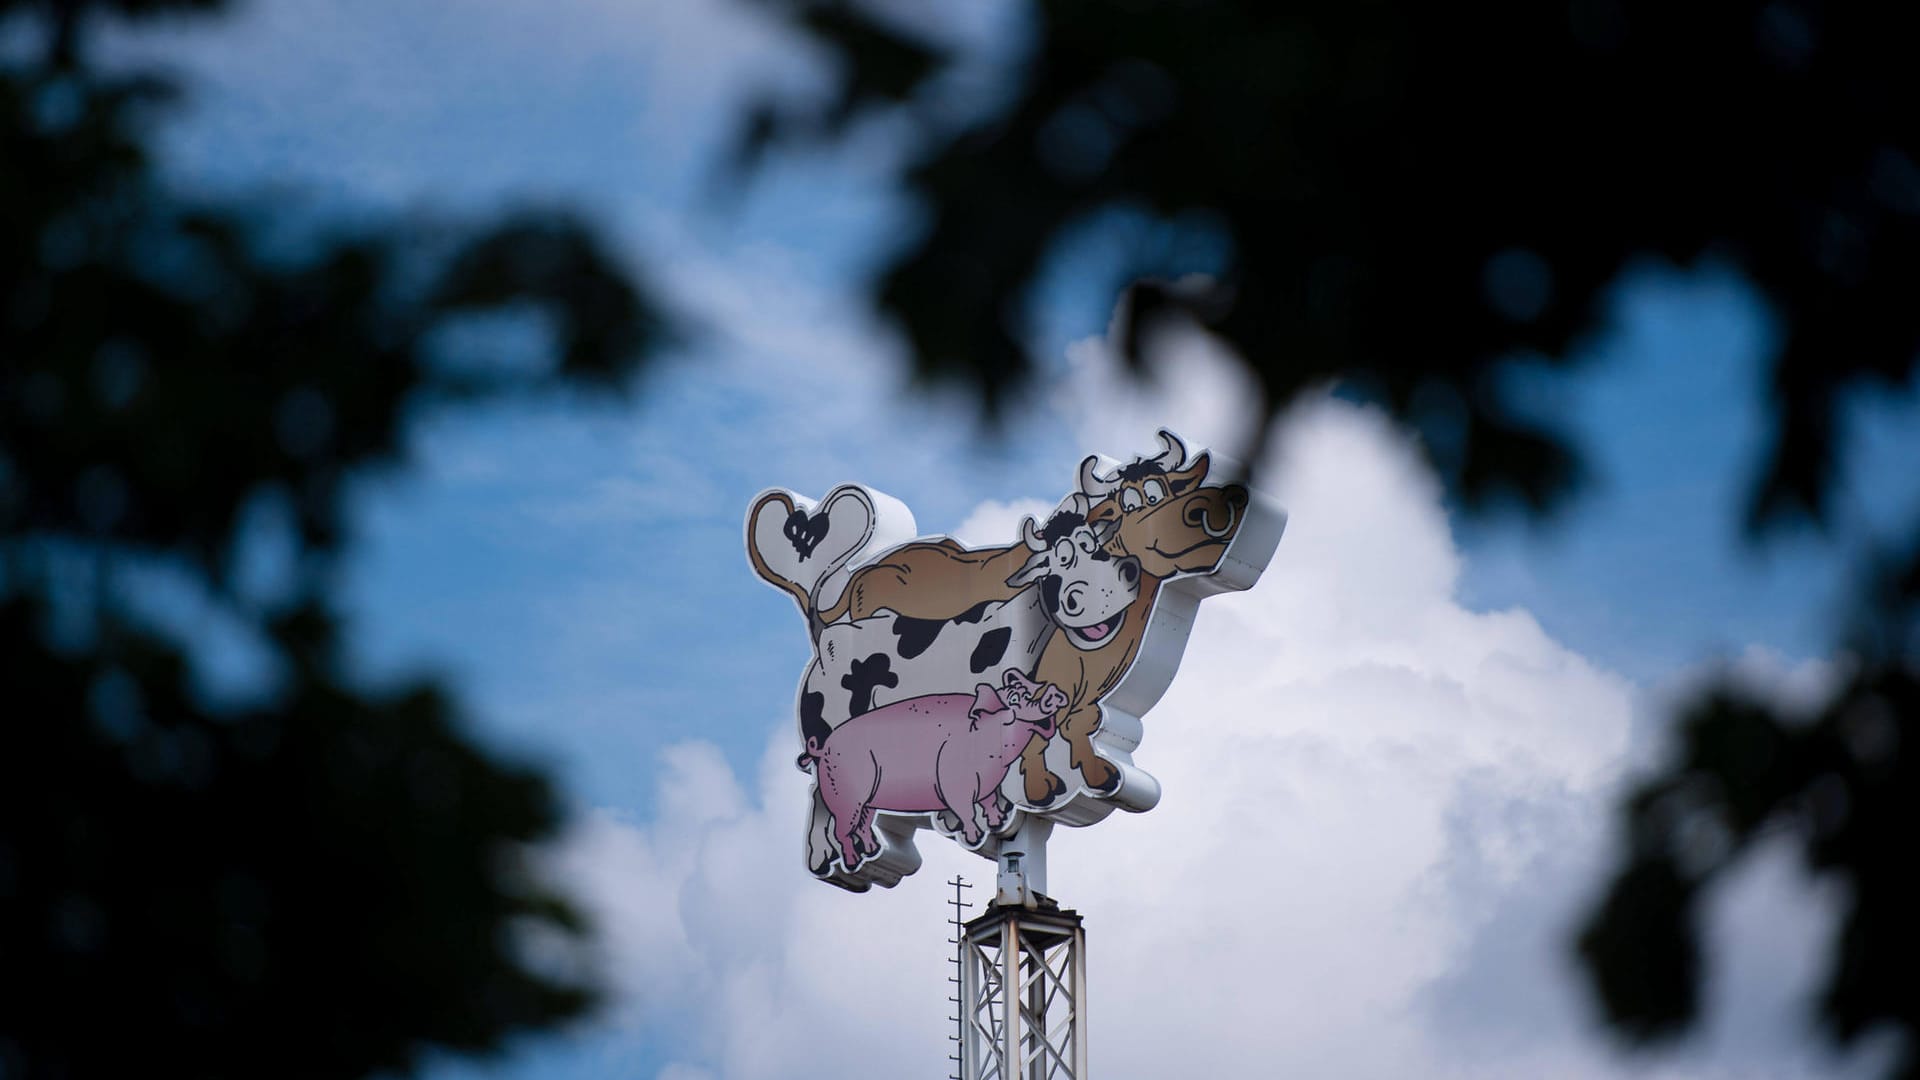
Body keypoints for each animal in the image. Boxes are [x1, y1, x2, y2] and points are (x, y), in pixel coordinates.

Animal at [791, 664, 1067, 864]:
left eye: (1029, 689)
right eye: (1015, 698)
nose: (1053, 692)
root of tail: (823, 747)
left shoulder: (989, 784)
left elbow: (989, 803)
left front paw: (998, 821)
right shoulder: (954, 784)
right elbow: (966, 812)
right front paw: (976, 836)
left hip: (868, 801)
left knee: (863, 826)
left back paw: (871, 850)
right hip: (845, 797)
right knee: (843, 832)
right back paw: (852, 861)